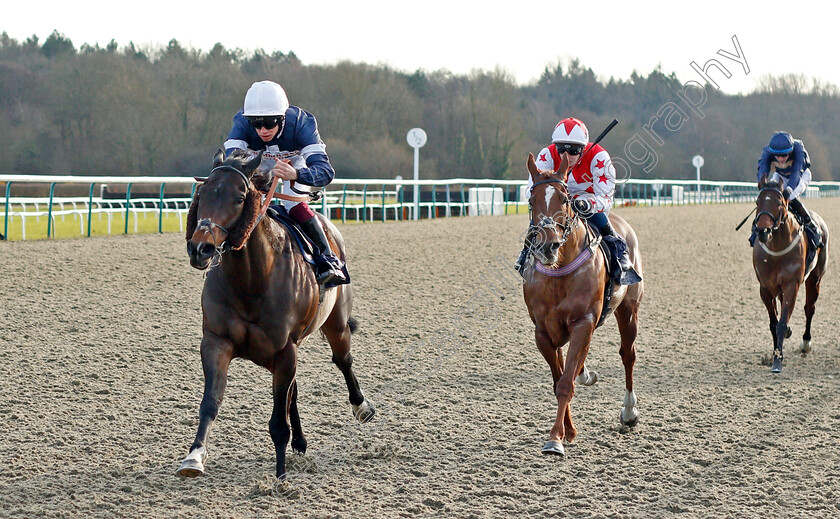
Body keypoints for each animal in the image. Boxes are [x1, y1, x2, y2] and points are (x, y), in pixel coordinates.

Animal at [177, 149, 374, 480]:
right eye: (201, 194)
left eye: (239, 198)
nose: (200, 249)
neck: (252, 279)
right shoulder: (217, 341)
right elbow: (211, 402)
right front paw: (194, 457)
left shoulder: (284, 349)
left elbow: (278, 422)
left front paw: (281, 477)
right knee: (294, 389)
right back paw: (301, 442)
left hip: (335, 323)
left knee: (343, 360)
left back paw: (362, 407)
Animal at [520, 152, 648, 458]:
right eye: (532, 199)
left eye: (565, 198)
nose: (548, 246)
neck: (559, 273)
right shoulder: (542, 332)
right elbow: (559, 378)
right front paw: (567, 431)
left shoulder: (583, 322)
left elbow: (566, 383)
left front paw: (555, 438)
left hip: (628, 310)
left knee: (628, 355)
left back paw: (629, 412)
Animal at [752, 181, 832, 372]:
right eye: (757, 202)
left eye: (778, 203)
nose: (763, 231)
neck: (776, 250)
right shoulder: (765, 288)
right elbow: (774, 323)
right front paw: (776, 353)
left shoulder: (791, 285)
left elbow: (781, 323)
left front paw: (777, 361)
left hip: (815, 278)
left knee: (809, 308)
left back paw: (806, 343)